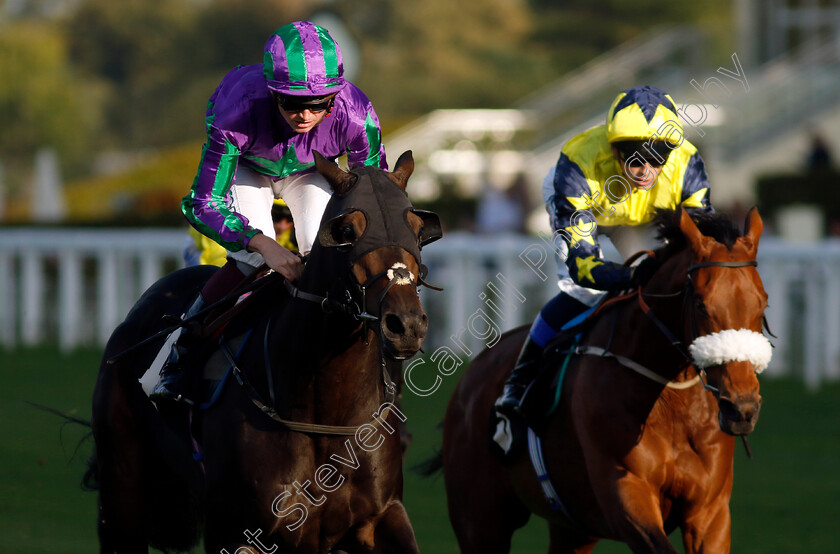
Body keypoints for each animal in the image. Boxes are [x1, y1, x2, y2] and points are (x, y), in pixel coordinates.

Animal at [91, 151, 442, 552]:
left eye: (418, 228)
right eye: (347, 232)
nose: (406, 324)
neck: (325, 413)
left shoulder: (382, 515)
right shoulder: (235, 531)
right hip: (121, 488)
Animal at [440, 208, 768, 552]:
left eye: (762, 302)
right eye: (702, 304)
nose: (742, 408)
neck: (671, 401)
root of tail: (471, 377)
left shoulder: (710, 513)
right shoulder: (627, 496)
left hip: (575, 528)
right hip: (480, 522)